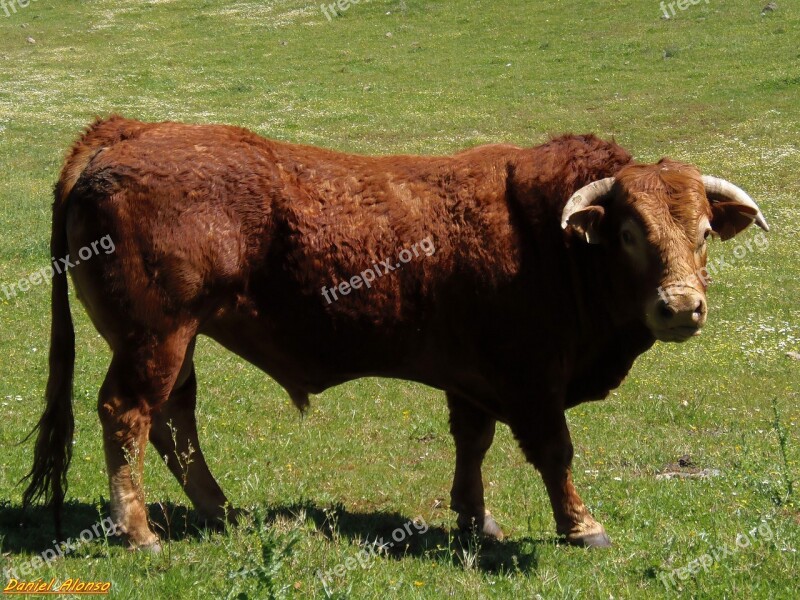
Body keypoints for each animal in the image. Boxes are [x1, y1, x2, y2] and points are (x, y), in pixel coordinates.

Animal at [21, 116, 764, 548]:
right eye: (632, 233)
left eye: (703, 231)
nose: (681, 307)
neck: (547, 237)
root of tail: (124, 132)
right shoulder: (530, 381)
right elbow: (555, 454)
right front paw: (583, 527)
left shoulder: (475, 380)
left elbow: (472, 444)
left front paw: (475, 517)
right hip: (158, 338)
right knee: (128, 414)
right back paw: (139, 531)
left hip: (178, 342)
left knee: (174, 421)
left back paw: (220, 511)